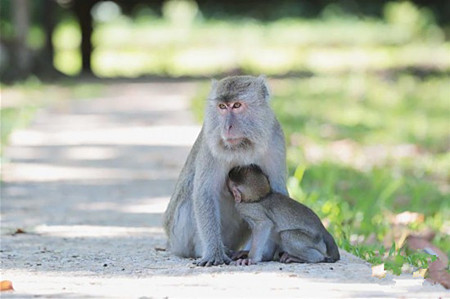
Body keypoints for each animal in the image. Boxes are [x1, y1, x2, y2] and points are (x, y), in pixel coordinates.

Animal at [163, 75, 286, 268]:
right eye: (222, 107)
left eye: (236, 105)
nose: (227, 127)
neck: (243, 147)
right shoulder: (211, 145)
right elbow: (205, 193)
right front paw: (214, 253)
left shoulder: (275, 140)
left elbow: (276, 193)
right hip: (178, 238)